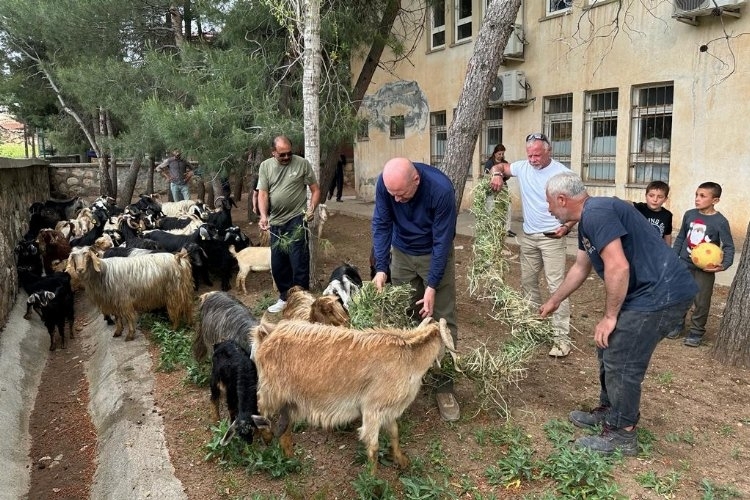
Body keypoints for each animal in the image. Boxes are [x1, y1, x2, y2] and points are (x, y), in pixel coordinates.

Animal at [253, 316, 456, 472]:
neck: (409, 357)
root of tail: (266, 334)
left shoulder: (388, 410)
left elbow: (394, 433)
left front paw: (401, 460)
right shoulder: (372, 409)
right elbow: (373, 448)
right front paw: (373, 481)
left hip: (289, 400)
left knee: (284, 426)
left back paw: (290, 458)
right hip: (271, 390)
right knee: (261, 411)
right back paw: (267, 437)